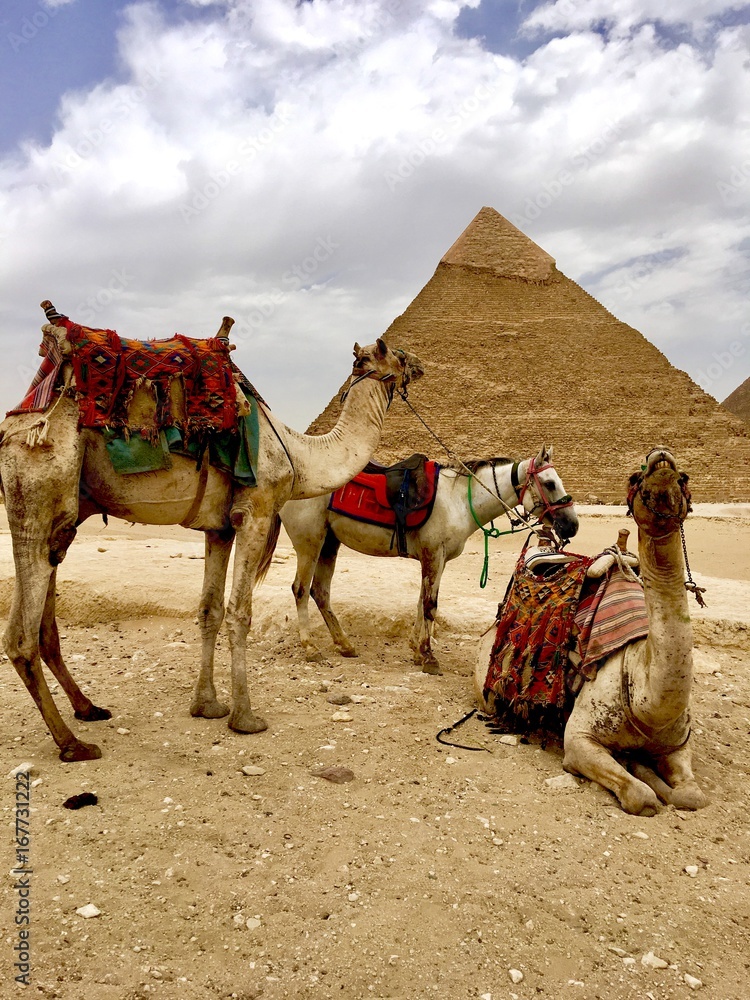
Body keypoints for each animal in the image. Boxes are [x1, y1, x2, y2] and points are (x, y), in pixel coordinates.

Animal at [0, 319, 424, 762]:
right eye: (399, 355)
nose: (421, 365)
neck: (298, 452)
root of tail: (20, 421)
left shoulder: (218, 528)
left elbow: (210, 610)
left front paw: (206, 705)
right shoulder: (255, 511)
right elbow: (240, 612)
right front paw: (245, 717)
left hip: (62, 517)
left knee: (47, 623)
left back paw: (88, 708)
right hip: (38, 487)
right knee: (20, 637)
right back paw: (71, 742)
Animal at [281, 445, 579, 671]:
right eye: (550, 483)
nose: (572, 525)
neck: (459, 500)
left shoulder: (436, 558)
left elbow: (421, 601)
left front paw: (416, 649)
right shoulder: (434, 554)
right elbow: (430, 604)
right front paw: (428, 656)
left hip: (329, 542)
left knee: (320, 591)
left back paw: (345, 645)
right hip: (310, 542)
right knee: (300, 589)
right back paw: (310, 648)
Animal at [474, 447, 708, 816]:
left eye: (683, 477)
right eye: (635, 478)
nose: (661, 459)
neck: (647, 696)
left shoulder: (679, 744)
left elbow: (691, 797)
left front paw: (646, 769)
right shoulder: (579, 739)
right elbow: (641, 796)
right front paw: (640, 773)